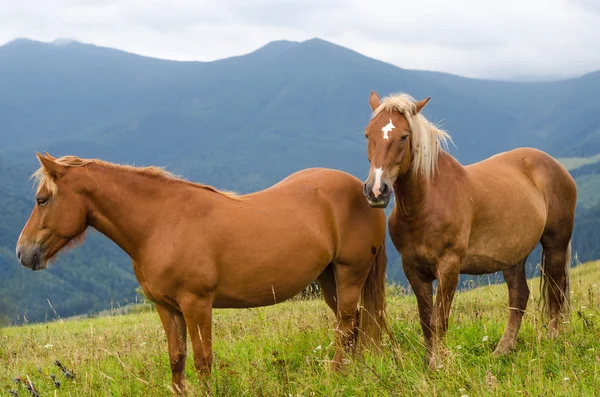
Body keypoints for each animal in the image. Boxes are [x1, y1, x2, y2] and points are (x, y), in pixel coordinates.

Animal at [16, 152, 390, 392]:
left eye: (42, 199)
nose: (23, 252)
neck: (159, 224)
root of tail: (365, 190)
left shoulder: (197, 305)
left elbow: (202, 361)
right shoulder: (167, 308)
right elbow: (177, 359)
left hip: (350, 274)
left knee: (346, 326)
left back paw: (335, 376)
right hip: (329, 278)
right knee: (354, 324)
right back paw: (354, 372)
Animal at [360, 90, 576, 368]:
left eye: (404, 136)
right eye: (368, 134)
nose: (377, 190)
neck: (427, 203)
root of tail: (557, 167)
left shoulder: (449, 266)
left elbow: (439, 320)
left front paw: (439, 365)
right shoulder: (413, 269)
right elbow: (425, 319)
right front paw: (429, 363)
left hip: (555, 244)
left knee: (555, 293)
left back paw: (552, 340)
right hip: (513, 258)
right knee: (519, 297)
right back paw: (502, 349)